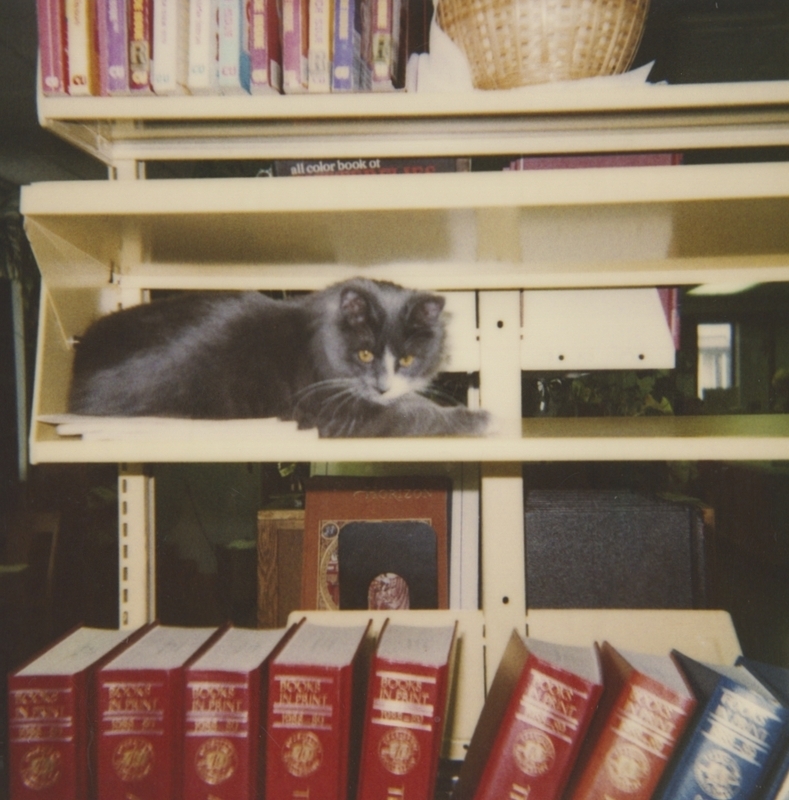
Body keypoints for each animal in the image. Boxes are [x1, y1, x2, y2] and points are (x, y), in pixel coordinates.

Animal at [69, 280, 486, 440]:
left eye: (408, 358)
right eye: (365, 353)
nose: (383, 387)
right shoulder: (331, 405)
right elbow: (409, 413)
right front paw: (479, 418)